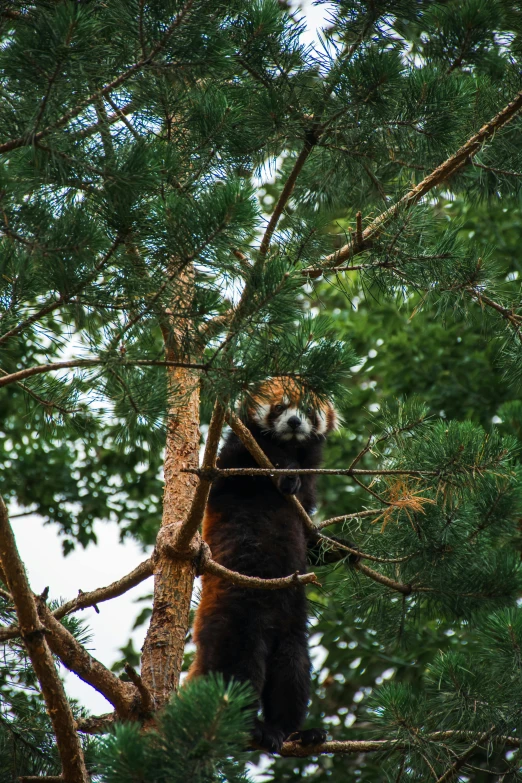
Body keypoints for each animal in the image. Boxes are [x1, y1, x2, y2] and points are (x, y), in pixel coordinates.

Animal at [187, 380, 338, 752]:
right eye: (280, 406)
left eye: (308, 409)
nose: (295, 422)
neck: (289, 447)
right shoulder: (233, 459)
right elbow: (239, 472)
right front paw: (284, 474)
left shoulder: (309, 491)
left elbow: (308, 537)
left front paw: (338, 549)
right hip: (236, 616)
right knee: (236, 669)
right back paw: (251, 729)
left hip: (291, 632)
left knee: (293, 671)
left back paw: (294, 732)